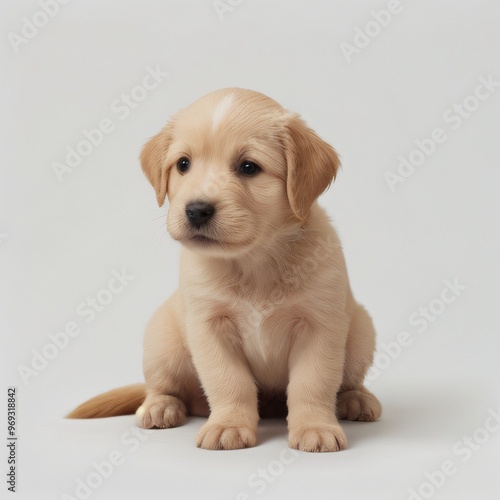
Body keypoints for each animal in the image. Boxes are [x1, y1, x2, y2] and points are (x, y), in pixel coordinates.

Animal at [68, 89, 380, 454]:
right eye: (183, 164)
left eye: (248, 167)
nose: (196, 210)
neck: (254, 261)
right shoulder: (209, 327)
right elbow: (230, 381)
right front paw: (229, 425)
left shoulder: (320, 324)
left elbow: (313, 383)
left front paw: (315, 427)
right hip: (161, 339)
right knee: (163, 387)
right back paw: (159, 407)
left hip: (361, 330)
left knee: (347, 381)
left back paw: (355, 399)